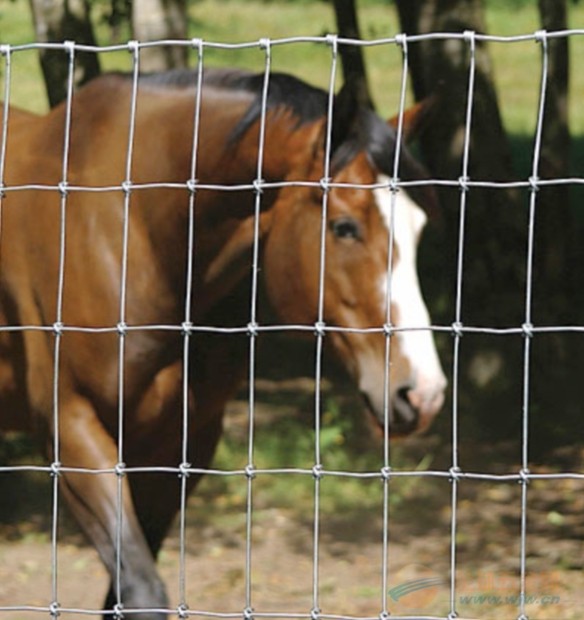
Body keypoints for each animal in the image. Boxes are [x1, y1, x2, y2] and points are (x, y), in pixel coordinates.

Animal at [1, 68, 448, 616]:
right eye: (345, 227)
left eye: (419, 229)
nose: (422, 393)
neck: (130, 230)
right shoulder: (72, 430)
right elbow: (141, 591)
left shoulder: (181, 443)